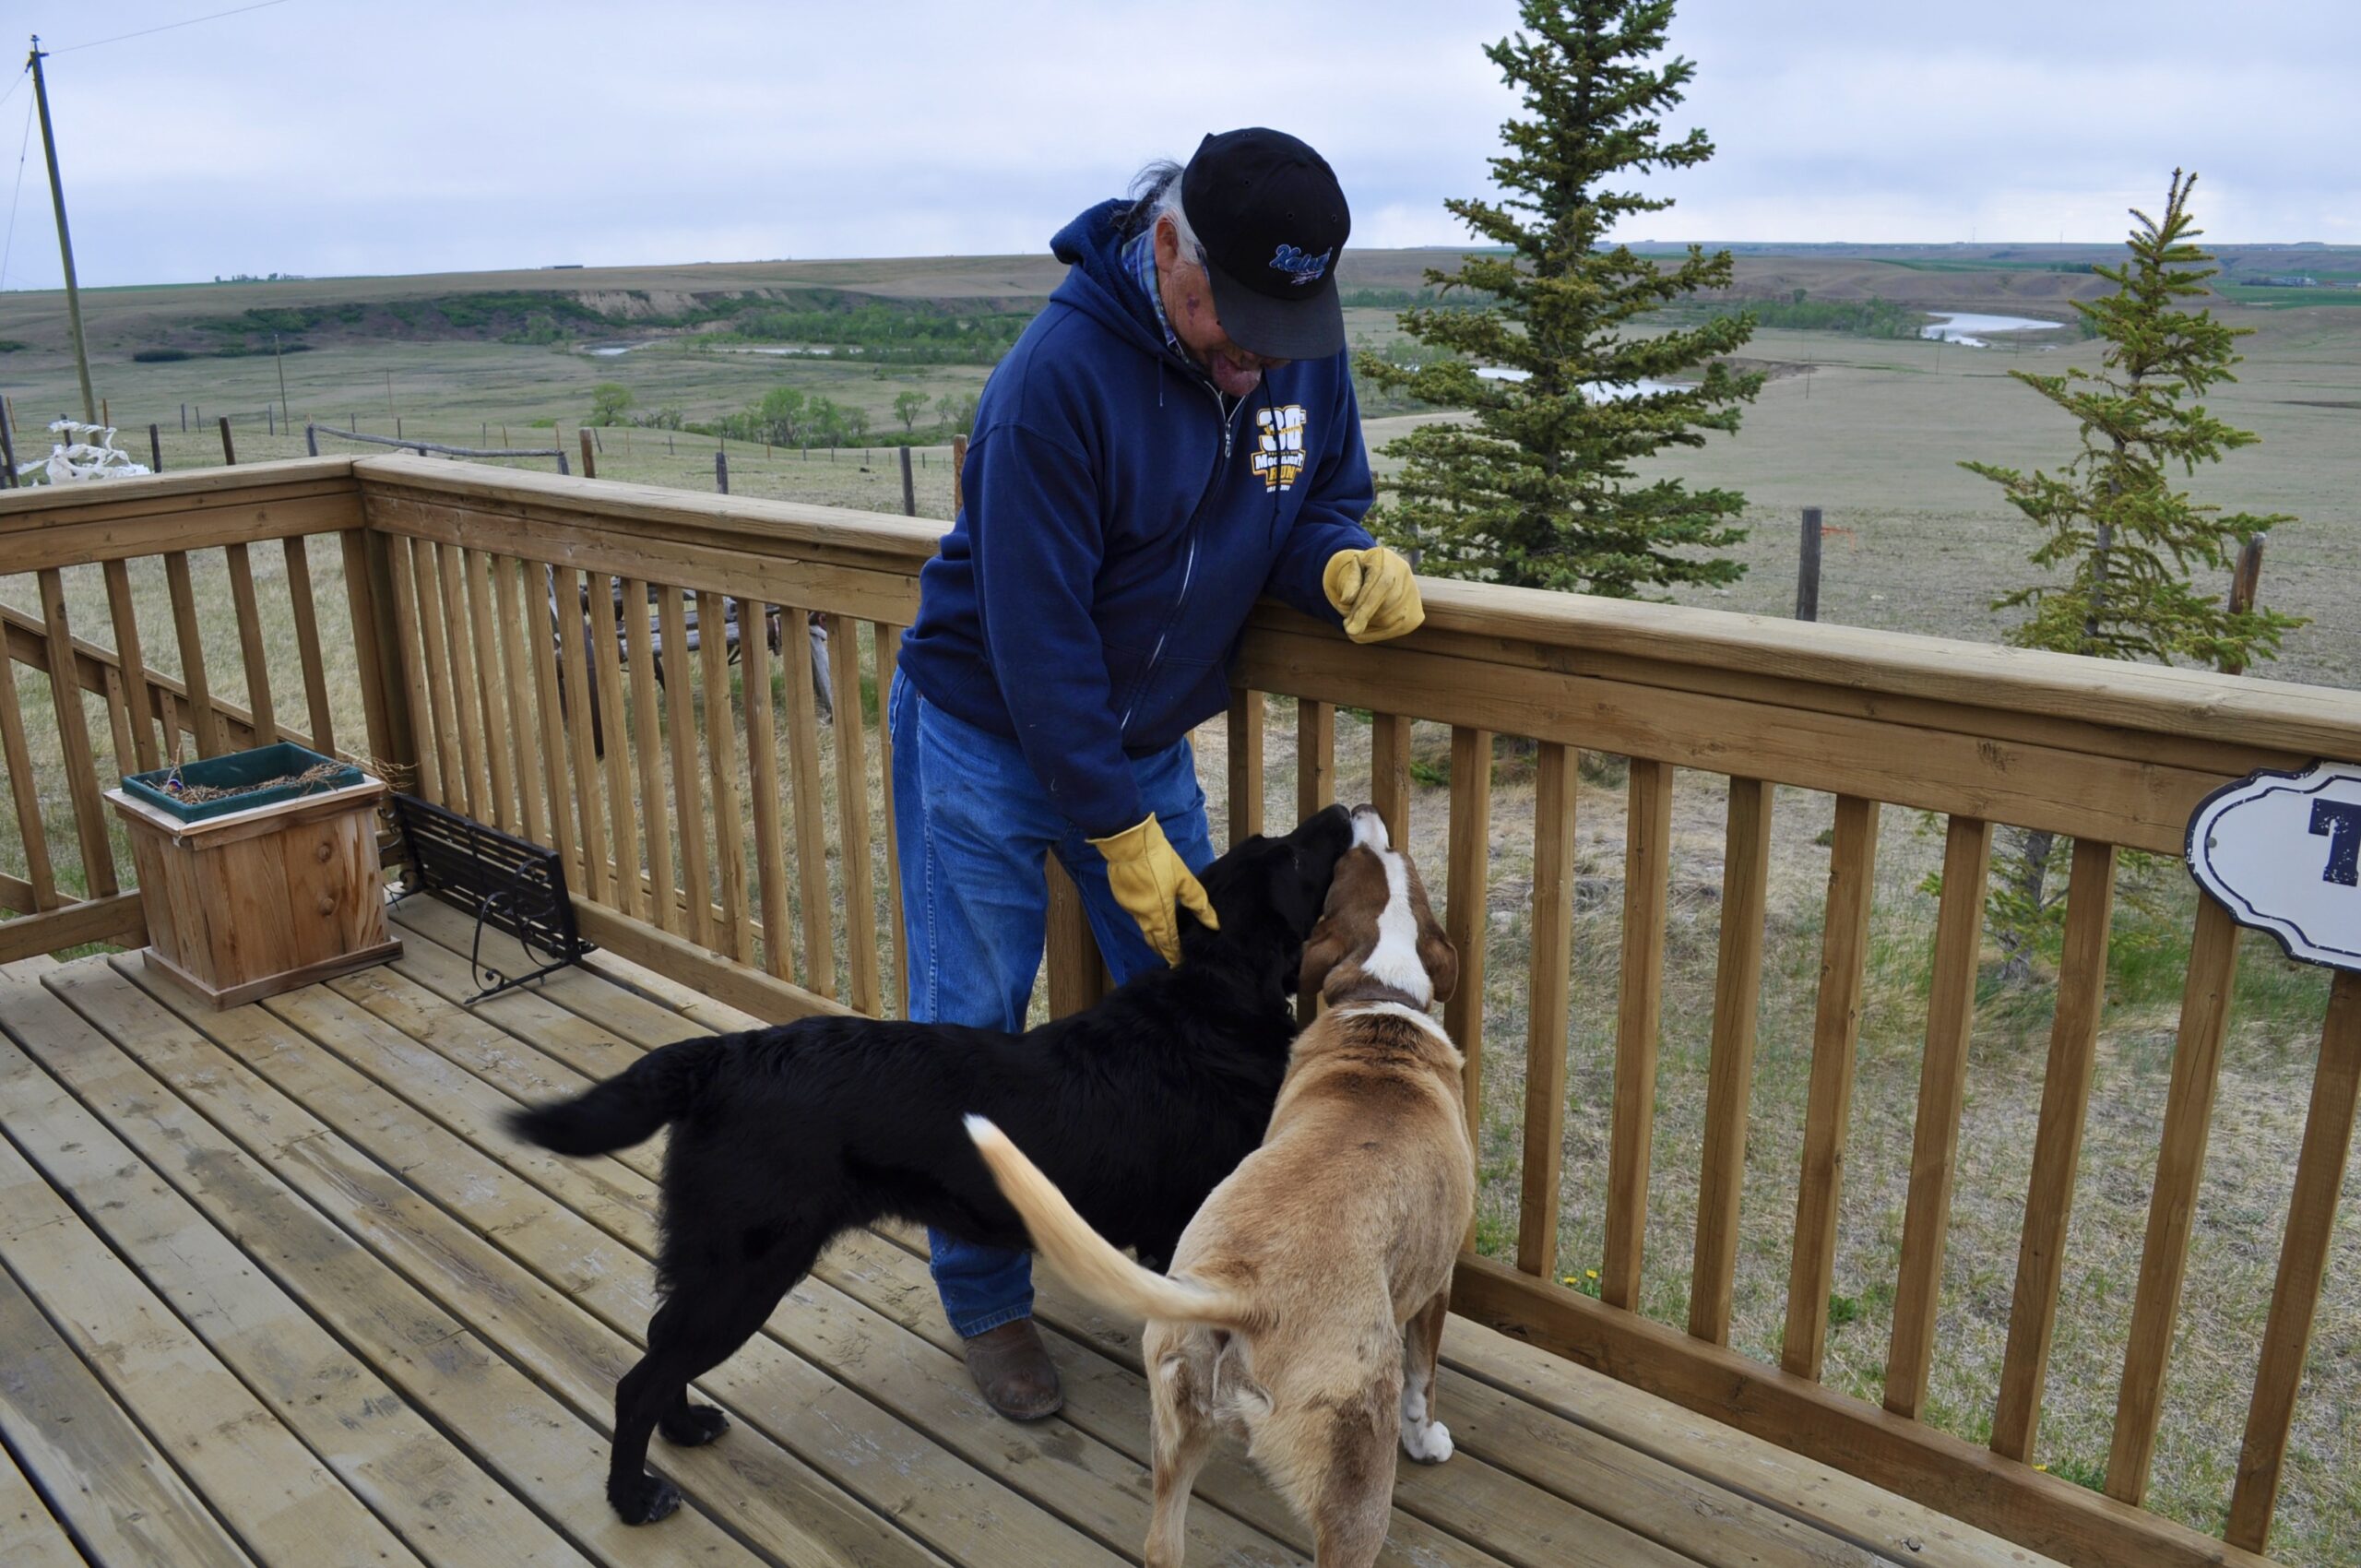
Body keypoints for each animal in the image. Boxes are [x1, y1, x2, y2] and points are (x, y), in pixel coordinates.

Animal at [503, 802, 1350, 1520]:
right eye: (1294, 856)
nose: (1344, 811)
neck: (1206, 1003)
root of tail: (724, 1056)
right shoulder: (1183, 1233)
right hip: (745, 1268)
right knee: (639, 1380)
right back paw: (632, 1497)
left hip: (719, 1265)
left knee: (658, 1345)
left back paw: (683, 1432)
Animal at [967, 807, 1464, 1568]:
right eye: (1382, 856)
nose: (1359, 812)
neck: (1381, 1004)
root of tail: (1242, 1299)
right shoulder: (1438, 1283)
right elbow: (1423, 1377)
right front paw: (1427, 1438)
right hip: (1353, 1490)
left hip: (1175, 1435)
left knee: (1162, 1544)